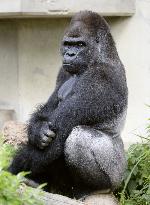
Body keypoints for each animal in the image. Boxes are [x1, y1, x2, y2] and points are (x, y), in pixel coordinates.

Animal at [8, 10, 127, 199]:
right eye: (68, 44)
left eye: (80, 44)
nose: (70, 54)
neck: (100, 57)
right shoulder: (63, 72)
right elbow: (47, 111)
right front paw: (37, 130)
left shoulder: (100, 80)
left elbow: (60, 135)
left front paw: (11, 172)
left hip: (117, 175)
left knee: (79, 137)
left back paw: (93, 188)